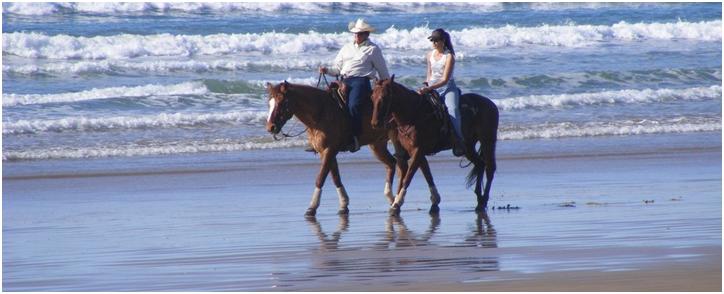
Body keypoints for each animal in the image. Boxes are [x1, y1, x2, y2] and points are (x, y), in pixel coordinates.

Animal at [266, 81, 404, 217]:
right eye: (270, 103)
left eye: (281, 102)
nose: (270, 127)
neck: (320, 113)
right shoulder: (325, 152)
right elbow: (335, 177)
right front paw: (343, 204)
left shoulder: (330, 150)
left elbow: (321, 177)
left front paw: (312, 207)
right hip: (377, 144)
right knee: (391, 163)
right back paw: (391, 198)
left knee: (402, 166)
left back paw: (397, 201)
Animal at [374, 75, 498, 214]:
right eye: (372, 97)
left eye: (383, 98)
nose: (375, 123)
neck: (414, 114)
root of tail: (491, 104)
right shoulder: (416, 152)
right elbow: (427, 174)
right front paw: (435, 201)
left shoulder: (418, 151)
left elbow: (409, 176)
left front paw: (397, 202)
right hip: (468, 147)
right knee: (480, 164)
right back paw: (479, 200)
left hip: (488, 141)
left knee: (490, 168)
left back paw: (484, 200)